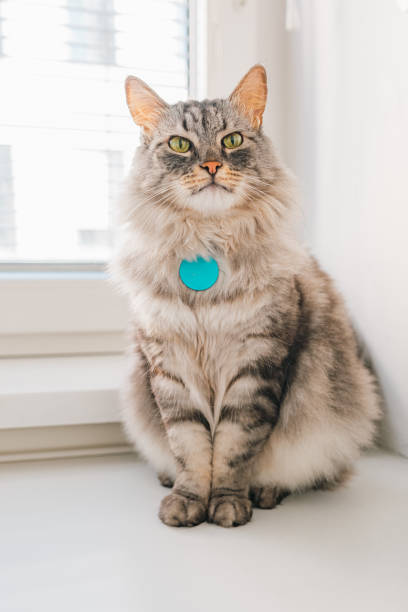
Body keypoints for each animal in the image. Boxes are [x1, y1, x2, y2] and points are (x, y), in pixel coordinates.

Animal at [111, 64, 380, 528]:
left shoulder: (255, 363)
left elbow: (234, 448)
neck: (206, 246)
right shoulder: (170, 367)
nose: (211, 165)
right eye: (180, 144)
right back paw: (167, 479)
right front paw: (187, 501)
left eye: (232, 140)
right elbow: (189, 447)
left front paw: (228, 505)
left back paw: (267, 492)